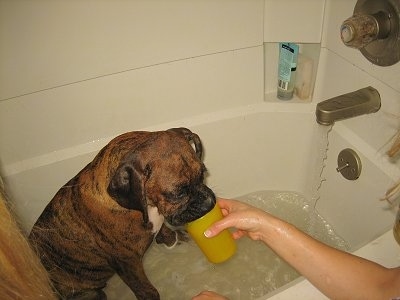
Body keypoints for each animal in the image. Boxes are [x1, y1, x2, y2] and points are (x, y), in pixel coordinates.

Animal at [28, 127, 216, 298]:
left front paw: (174, 240)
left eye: (202, 174)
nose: (210, 203)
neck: (146, 206)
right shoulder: (127, 263)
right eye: (178, 193)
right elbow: (145, 289)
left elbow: (164, 230)